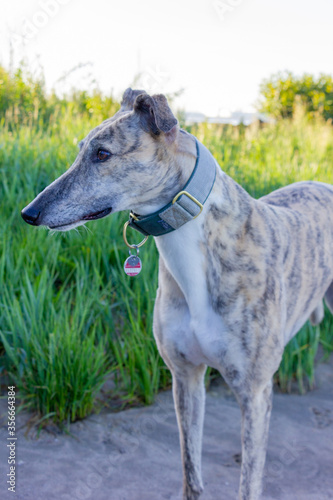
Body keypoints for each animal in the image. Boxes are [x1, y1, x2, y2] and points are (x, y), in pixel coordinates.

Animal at [21, 88, 332, 498]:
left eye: (102, 153)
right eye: (80, 149)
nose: (29, 213)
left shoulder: (254, 390)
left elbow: (249, 481)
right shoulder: (185, 377)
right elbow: (191, 474)